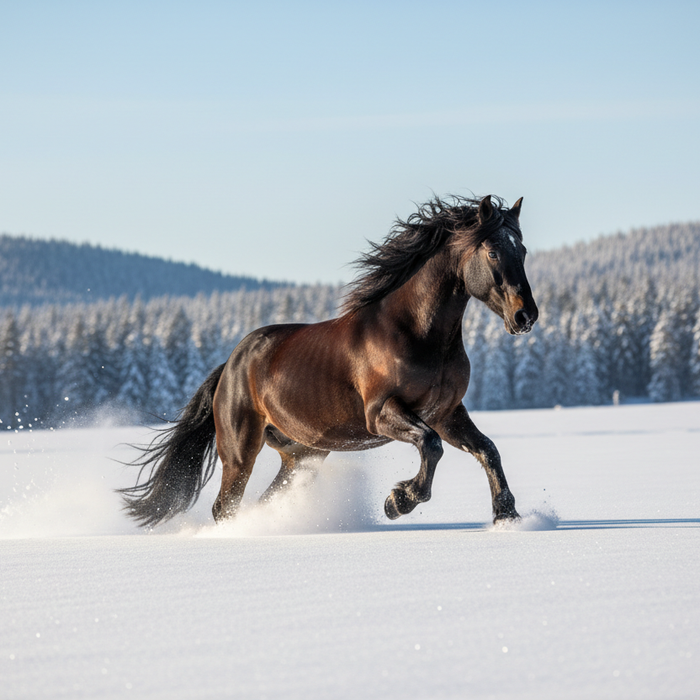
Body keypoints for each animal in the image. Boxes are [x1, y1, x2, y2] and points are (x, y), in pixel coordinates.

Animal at [119, 194, 538, 527]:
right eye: (493, 251)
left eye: (522, 251)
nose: (526, 316)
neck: (415, 333)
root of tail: (231, 365)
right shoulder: (382, 413)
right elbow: (431, 445)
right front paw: (398, 502)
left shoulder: (446, 413)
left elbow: (487, 450)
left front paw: (508, 516)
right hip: (240, 451)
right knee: (225, 506)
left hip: (302, 454)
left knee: (263, 499)